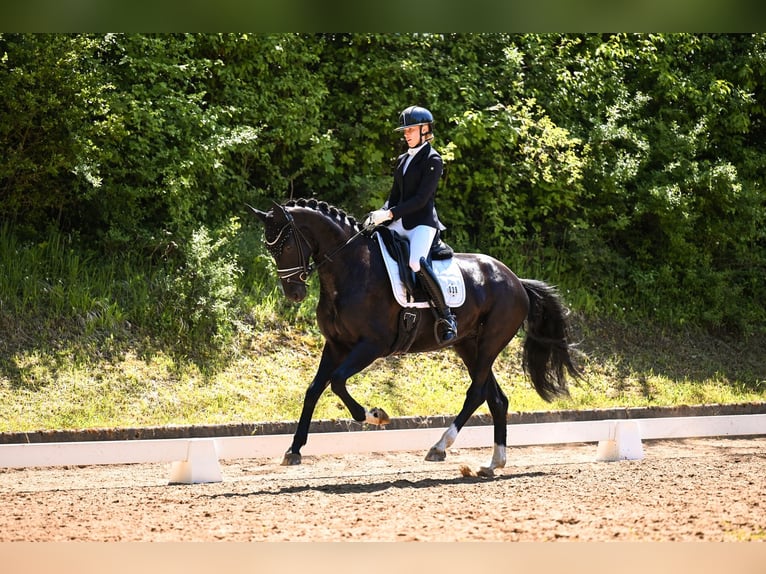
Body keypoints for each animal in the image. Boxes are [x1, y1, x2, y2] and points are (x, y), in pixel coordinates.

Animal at [249, 198, 581, 477]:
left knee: (476, 393)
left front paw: (375, 414)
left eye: (286, 246)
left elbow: (337, 382)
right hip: (468, 345)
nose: (294, 293)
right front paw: (293, 450)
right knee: (496, 398)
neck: (351, 269)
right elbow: (314, 389)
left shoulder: (371, 346)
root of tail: (516, 280)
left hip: (490, 342)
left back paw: (439, 447)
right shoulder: (336, 345)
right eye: (270, 248)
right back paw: (492, 463)